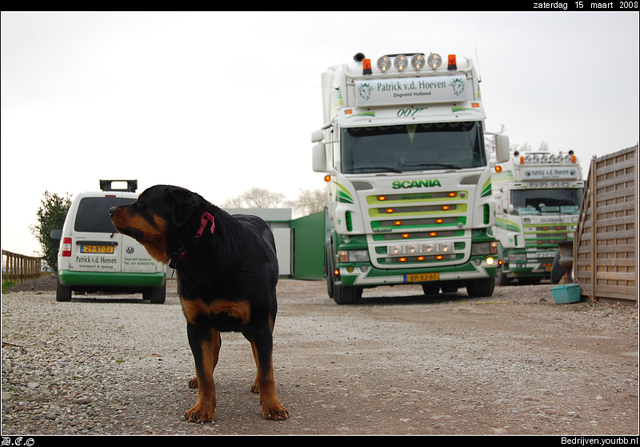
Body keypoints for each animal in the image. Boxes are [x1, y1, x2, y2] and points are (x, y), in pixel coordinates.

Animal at [109, 186, 288, 424]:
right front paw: (203, 407)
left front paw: (272, 405)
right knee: (213, 353)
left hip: (267, 318)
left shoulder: (258, 325)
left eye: (142, 203)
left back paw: (257, 383)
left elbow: (266, 369)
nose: (110, 209)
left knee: (260, 358)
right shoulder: (197, 324)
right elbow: (204, 372)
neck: (202, 248)